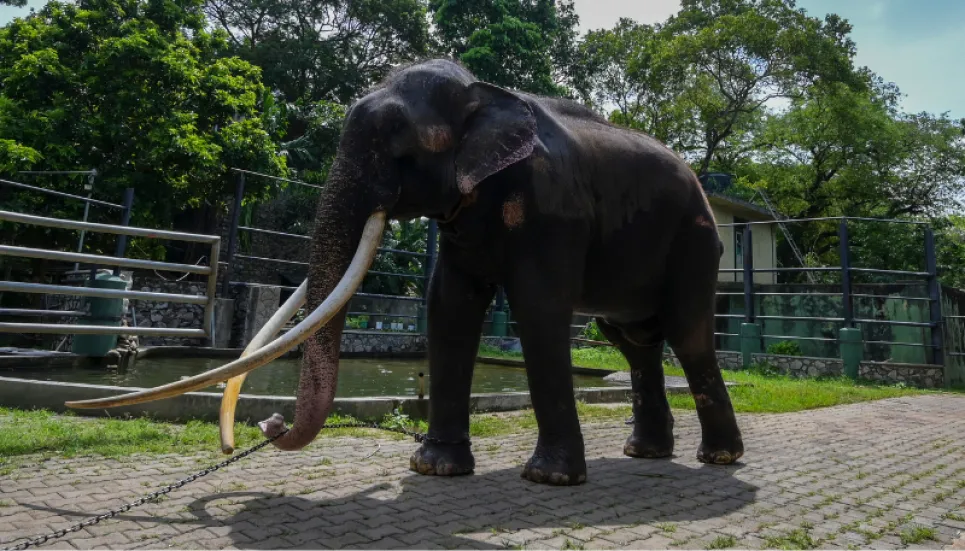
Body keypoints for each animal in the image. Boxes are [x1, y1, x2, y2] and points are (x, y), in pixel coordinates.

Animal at [69, 57, 744, 488]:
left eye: (396, 138)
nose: (269, 421)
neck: (487, 92)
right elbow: (447, 309)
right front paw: (433, 469)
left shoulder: (553, 210)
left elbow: (537, 311)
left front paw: (548, 480)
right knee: (634, 343)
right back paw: (647, 453)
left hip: (697, 244)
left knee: (687, 335)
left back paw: (717, 458)